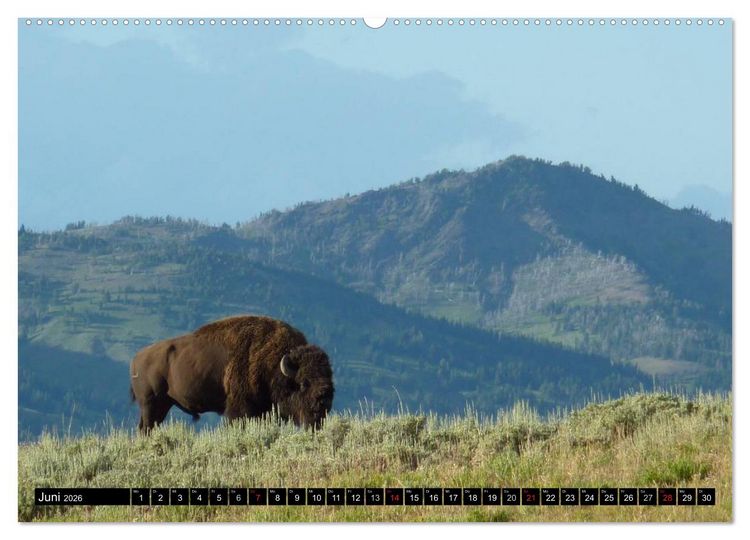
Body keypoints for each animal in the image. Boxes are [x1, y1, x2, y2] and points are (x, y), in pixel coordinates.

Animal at [129, 315, 334, 433]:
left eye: (329, 377)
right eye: (303, 383)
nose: (325, 398)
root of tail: (137, 358)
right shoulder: (240, 410)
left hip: (163, 405)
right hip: (150, 404)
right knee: (145, 428)